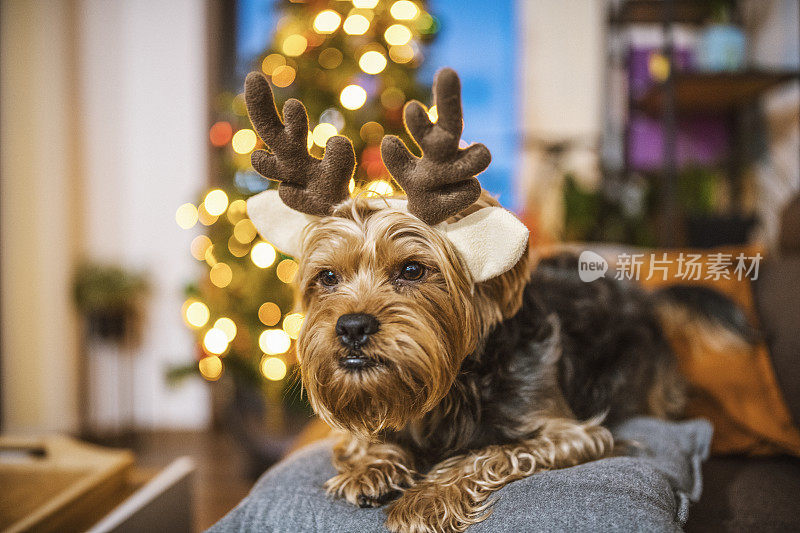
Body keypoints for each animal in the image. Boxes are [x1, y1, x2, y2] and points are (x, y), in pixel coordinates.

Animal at [244, 68, 700, 528]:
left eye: (412, 270)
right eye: (328, 277)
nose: (351, 326)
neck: (447, 391)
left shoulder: (572, 433)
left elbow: (486, 453)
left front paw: (425, 499)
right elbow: (364, 439)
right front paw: (372, 468)